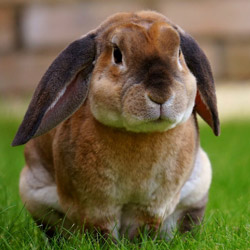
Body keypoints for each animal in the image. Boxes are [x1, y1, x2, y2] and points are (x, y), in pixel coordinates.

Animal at [12, 10, 219, 239]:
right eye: (117, 55)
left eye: (179, 53)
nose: (160, 95)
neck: (139, 134)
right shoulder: (96, 206)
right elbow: (102, 231)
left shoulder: (152, 206)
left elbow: (143, 229)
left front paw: (142, 243)